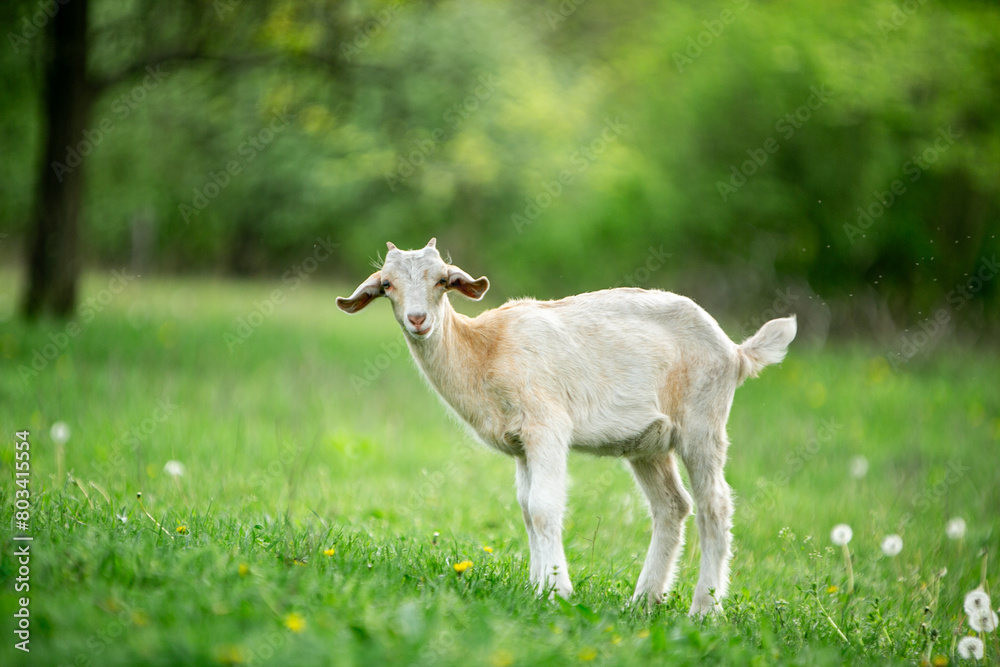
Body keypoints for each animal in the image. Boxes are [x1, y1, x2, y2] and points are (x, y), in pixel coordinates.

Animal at [337, 238, 796, 615]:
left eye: (442, 281)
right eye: (388, 285)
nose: (417, 320)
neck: (484, 350)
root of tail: (736, 352)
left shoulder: (547, 425)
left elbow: (544, 506)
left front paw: (558, 591)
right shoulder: (521, 442)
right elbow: (526, 508)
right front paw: (537, 588)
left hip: (703, 420)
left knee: (714, 504)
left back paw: (705, 609)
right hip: (650, 443)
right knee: (672, 506)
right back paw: (643, 600)